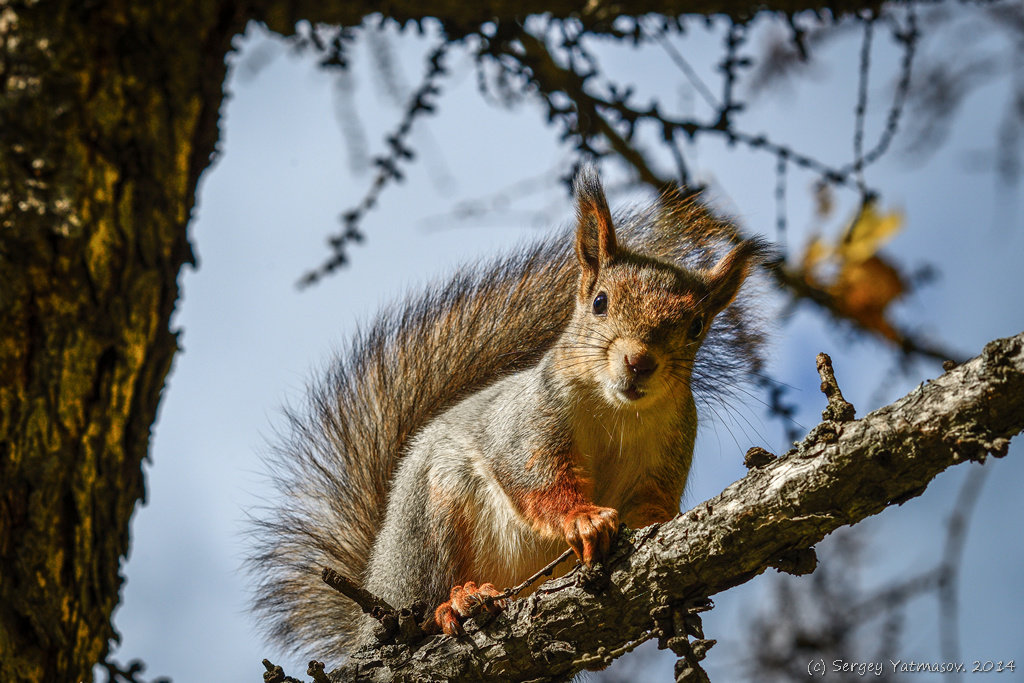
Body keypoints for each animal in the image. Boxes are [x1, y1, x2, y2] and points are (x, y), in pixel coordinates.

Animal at [247, 167, 765, 659]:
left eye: (696, 326)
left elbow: (654, 503)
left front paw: (655, 525)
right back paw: (457, 602)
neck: (619, 411)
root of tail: (377, 588)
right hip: (433, 518)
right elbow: (534, 477)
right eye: (600, 302)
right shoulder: (529, 420)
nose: (640, 361)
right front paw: (582, 518)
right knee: (424, 607)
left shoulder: (670, 447)